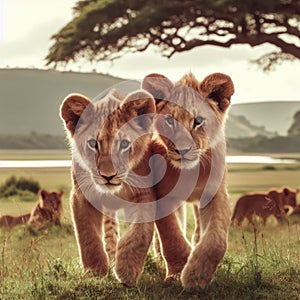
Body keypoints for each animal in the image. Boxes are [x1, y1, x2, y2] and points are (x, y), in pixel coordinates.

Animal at [60, 88, 156, 286]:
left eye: (124, 144)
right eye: (93, 144)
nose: (108, 176)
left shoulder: (144, 195)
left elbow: (140, 234)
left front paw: (127, 270)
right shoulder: (82, 195)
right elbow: (88, 237)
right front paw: (95, 272)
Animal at [142, 72, 233, 290]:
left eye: (198, 121)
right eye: (170, 121)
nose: (181, 150)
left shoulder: (216, 193)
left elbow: (216, 240)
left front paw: (197, 276)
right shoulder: (164, 196)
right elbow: (172, 239)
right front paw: (177, 274)